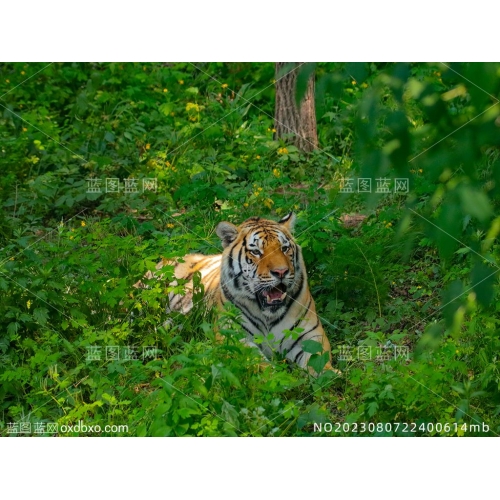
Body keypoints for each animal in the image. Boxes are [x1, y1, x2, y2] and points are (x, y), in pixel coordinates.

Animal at [141, 213, 334, 374]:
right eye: (256, 252)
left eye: (284, 248)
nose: (281, 272)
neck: (268, 315)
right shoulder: (234, 337)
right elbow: (258, 364)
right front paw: (281, 378)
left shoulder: (310, 335)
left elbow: (320, 362)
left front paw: (332, 376)